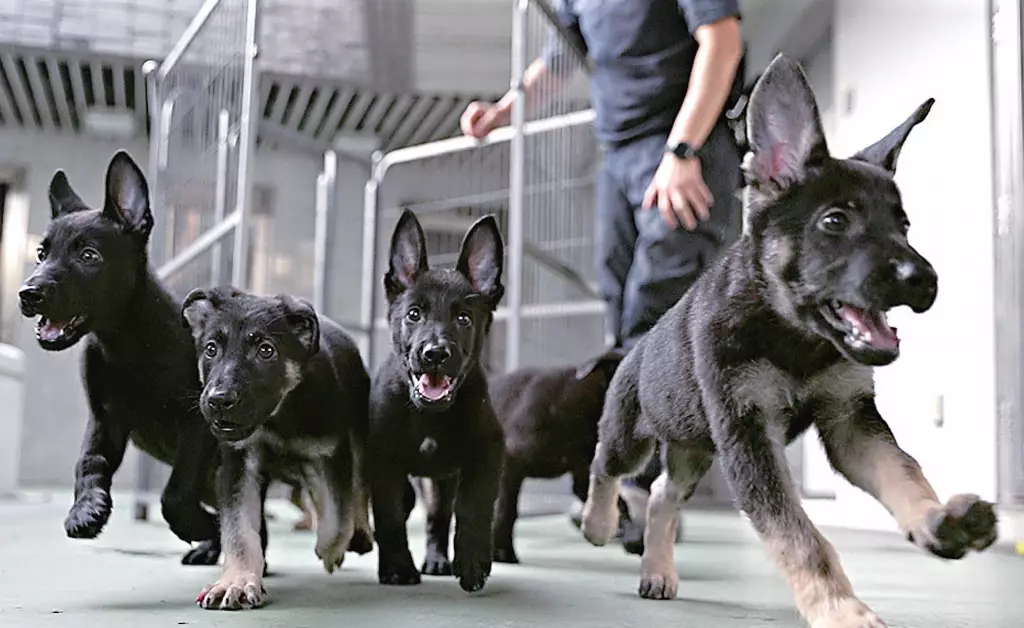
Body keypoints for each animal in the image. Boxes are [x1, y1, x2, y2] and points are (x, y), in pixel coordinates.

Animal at [18, 151, 221, 566]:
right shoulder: (105, 420)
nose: (27, 294)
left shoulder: (197, 423)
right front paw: (85, 509)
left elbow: (175, 493)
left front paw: (200, 527)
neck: (126, 343)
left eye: (89, 256)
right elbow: (88, 463)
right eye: (41, 254)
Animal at [181, 287, 374, 610]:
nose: (219, 400)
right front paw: (236, 581)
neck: (280, 416)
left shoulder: (333, 454)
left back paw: (359, 534)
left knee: (358, 490)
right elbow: (240, 532)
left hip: (358, 435)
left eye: (266, 350)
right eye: (210, 349)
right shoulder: (238, 466)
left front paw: (331, 552)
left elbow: (337, 518)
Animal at [368, 209, 505, 593]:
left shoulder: (487, 450)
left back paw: (437, 559)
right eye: (414, 314)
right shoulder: (383, 462)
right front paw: (398, 567)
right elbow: (389, 516)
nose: (435, 354)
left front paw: (472, 561)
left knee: (438, 517)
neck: (428, 415)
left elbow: (474, 505)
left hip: (442, 480)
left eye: (463, 318)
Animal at [579, 54, 997, 628]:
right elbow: (799, 536)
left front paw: (937, 521)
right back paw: (597, 524)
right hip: (634, 435)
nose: (926, 281)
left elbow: (904, 472)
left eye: (904, 225)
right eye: (835, 221)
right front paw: (841, 609)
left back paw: (658, 571)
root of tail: (636, 346)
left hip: (693, 445)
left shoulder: (849, 422)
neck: (791, 333)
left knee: (664, 493)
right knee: (606, 465)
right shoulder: (750, 436)